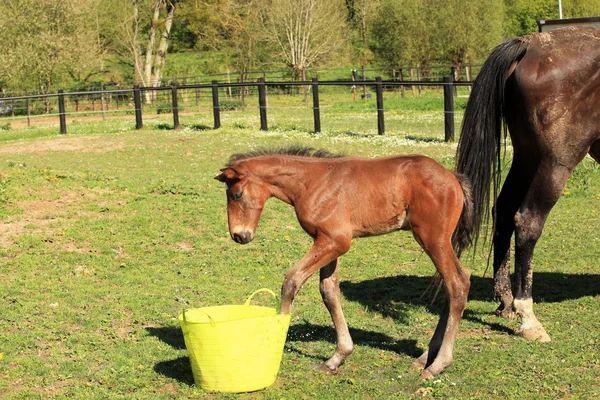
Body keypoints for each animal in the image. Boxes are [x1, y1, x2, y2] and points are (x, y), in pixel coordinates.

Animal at [216, 146, 474, 378]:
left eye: (237, 194)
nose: (239, 235)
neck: (311, 183)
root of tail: (453, 177)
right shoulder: (327, 242)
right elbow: (328, 291)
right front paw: (337, 357)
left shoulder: (336, 241)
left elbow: (292, 280)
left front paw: (276, 341)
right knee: (450, 286)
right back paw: (424, 359)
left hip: (433, 239)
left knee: (458, 282)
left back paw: (437, 365)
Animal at [458, 26, 596, 342]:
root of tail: (530, 44)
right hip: (554, 163)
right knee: (527, 221)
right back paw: (528, 317)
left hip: (526, 157)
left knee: (503, 211)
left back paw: (505, 300)